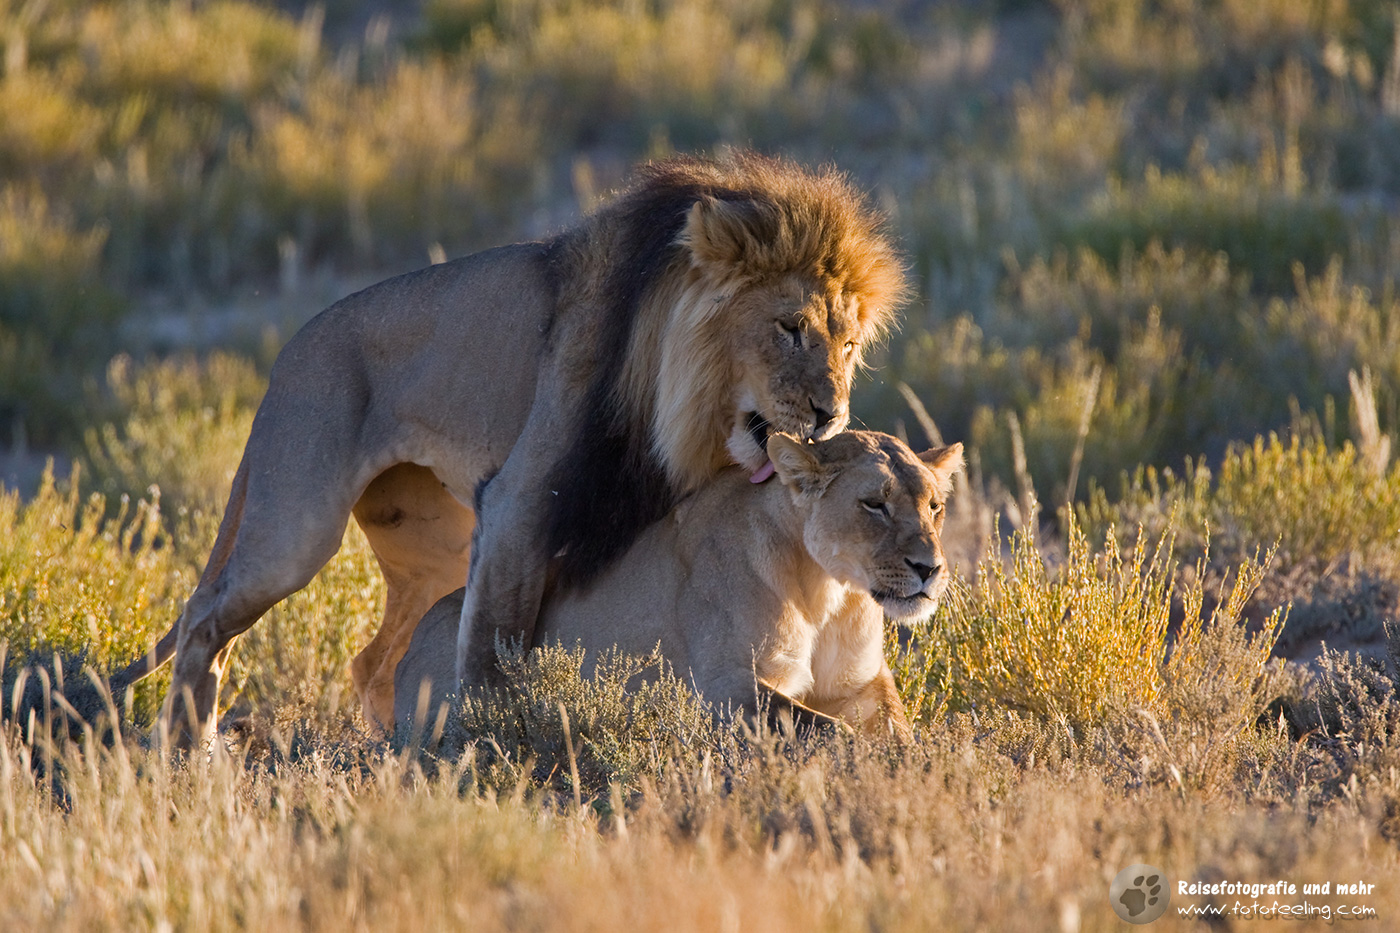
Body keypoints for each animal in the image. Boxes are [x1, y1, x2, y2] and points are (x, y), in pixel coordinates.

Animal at [105, 152, 906, 740]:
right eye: (789, 328)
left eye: (849, 343)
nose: (831, 413)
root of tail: (285, 354)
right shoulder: (520, 503)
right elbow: (494, 650)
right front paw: (490, 745)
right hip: (297, 527)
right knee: (208, 619)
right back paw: (190, 753)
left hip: (431, 549)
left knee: (373, 660)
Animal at [395, 431, 964, 742]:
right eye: (875, 504)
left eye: (935, 507)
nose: (930, 568)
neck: (830, 592)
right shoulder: (724, 687)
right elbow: (826, 730)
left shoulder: (860, 684)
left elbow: (900, 732)